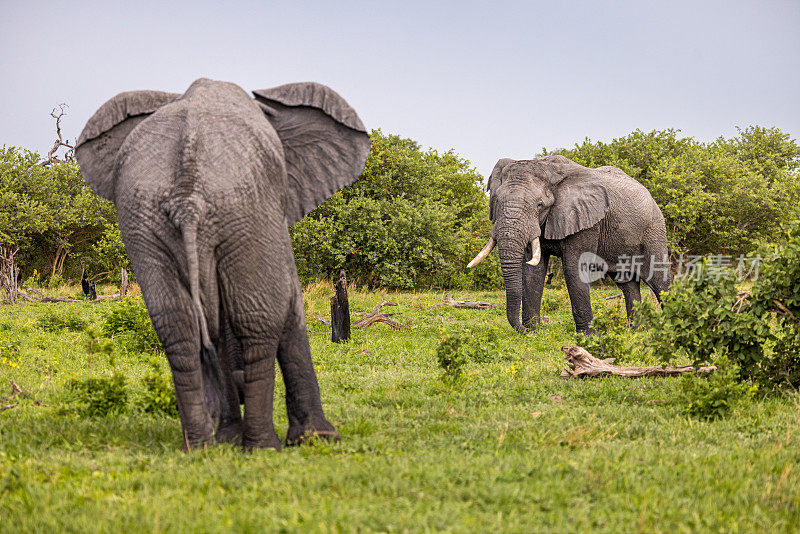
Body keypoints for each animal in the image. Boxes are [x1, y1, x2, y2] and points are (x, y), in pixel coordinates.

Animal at [466, 155, 672, 336]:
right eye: (497, 201)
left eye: (539, 205)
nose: (524, 330)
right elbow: (533, 271)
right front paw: (533, 332)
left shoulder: (587, 220)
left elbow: (574, 269)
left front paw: (587, 337)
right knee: (628, 285)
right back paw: (636, 332)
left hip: (654, 231)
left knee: (659, 281)